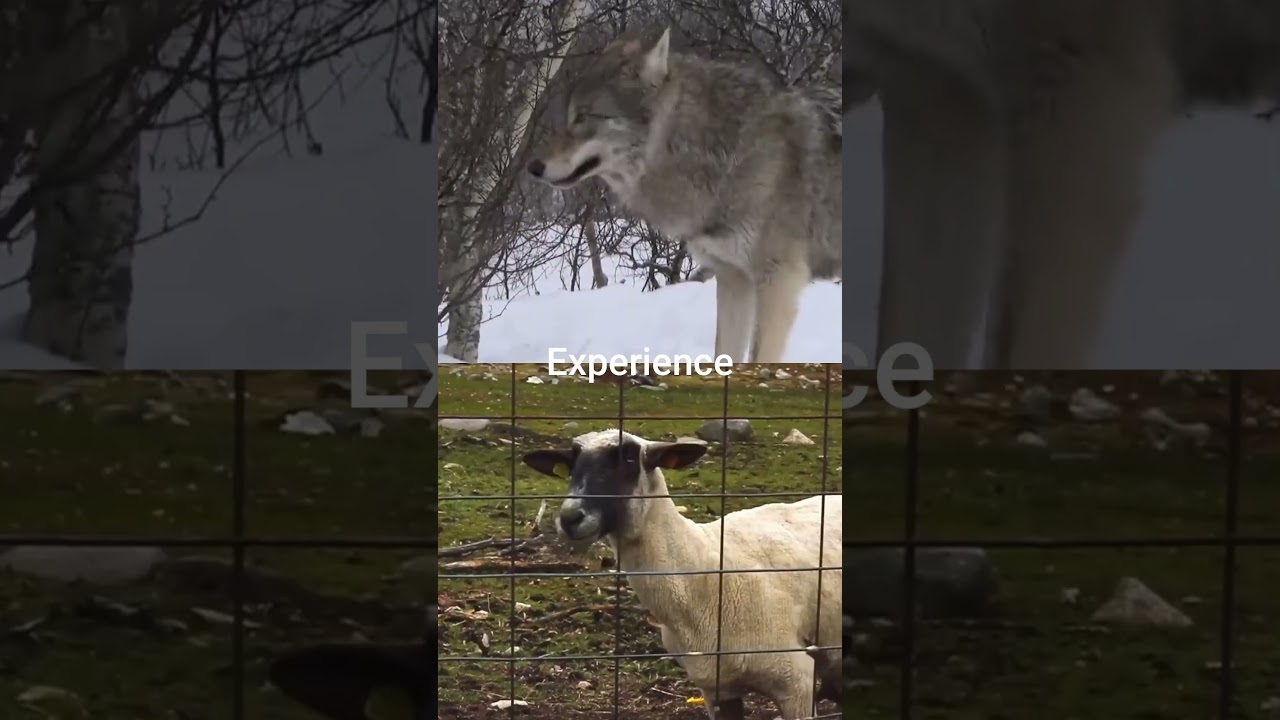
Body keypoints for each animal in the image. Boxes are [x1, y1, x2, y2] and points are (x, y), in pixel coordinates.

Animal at [528, 28, 842, 363]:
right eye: (570, 116)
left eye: (584, 116)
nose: (533, 167)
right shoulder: (733, 278)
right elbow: (724, 355)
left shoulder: (778, 282)